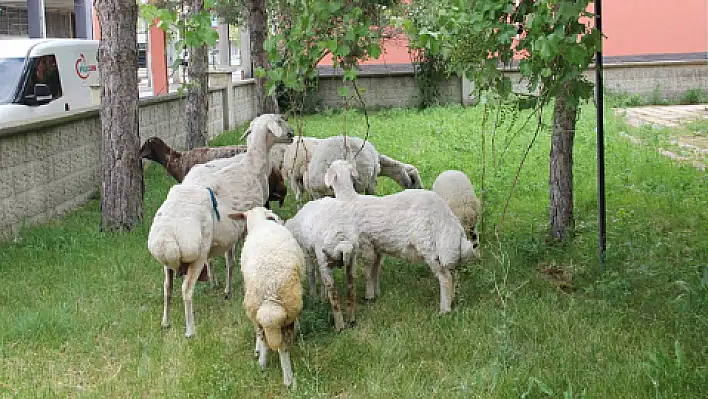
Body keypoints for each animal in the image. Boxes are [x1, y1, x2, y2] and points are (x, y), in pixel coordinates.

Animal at [227, 208, 304, 390]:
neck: (260, 221)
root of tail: (270, 292)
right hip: (286, 309)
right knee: (282, 345)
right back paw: (287, 377)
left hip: (256, 310)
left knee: (268, 340)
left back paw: (266, 366)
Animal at [324, 161, 478, 314]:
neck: (349, 199)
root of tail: (450, 221)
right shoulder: (377, 246)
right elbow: (375, 270)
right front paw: (376, 292)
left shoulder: (365, 243)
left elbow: (367, 271)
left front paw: (369, 295)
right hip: (444, 246)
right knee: (452, 274)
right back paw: (452, 300)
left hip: (429, 245)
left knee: (445, 277)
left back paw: (444, 310)